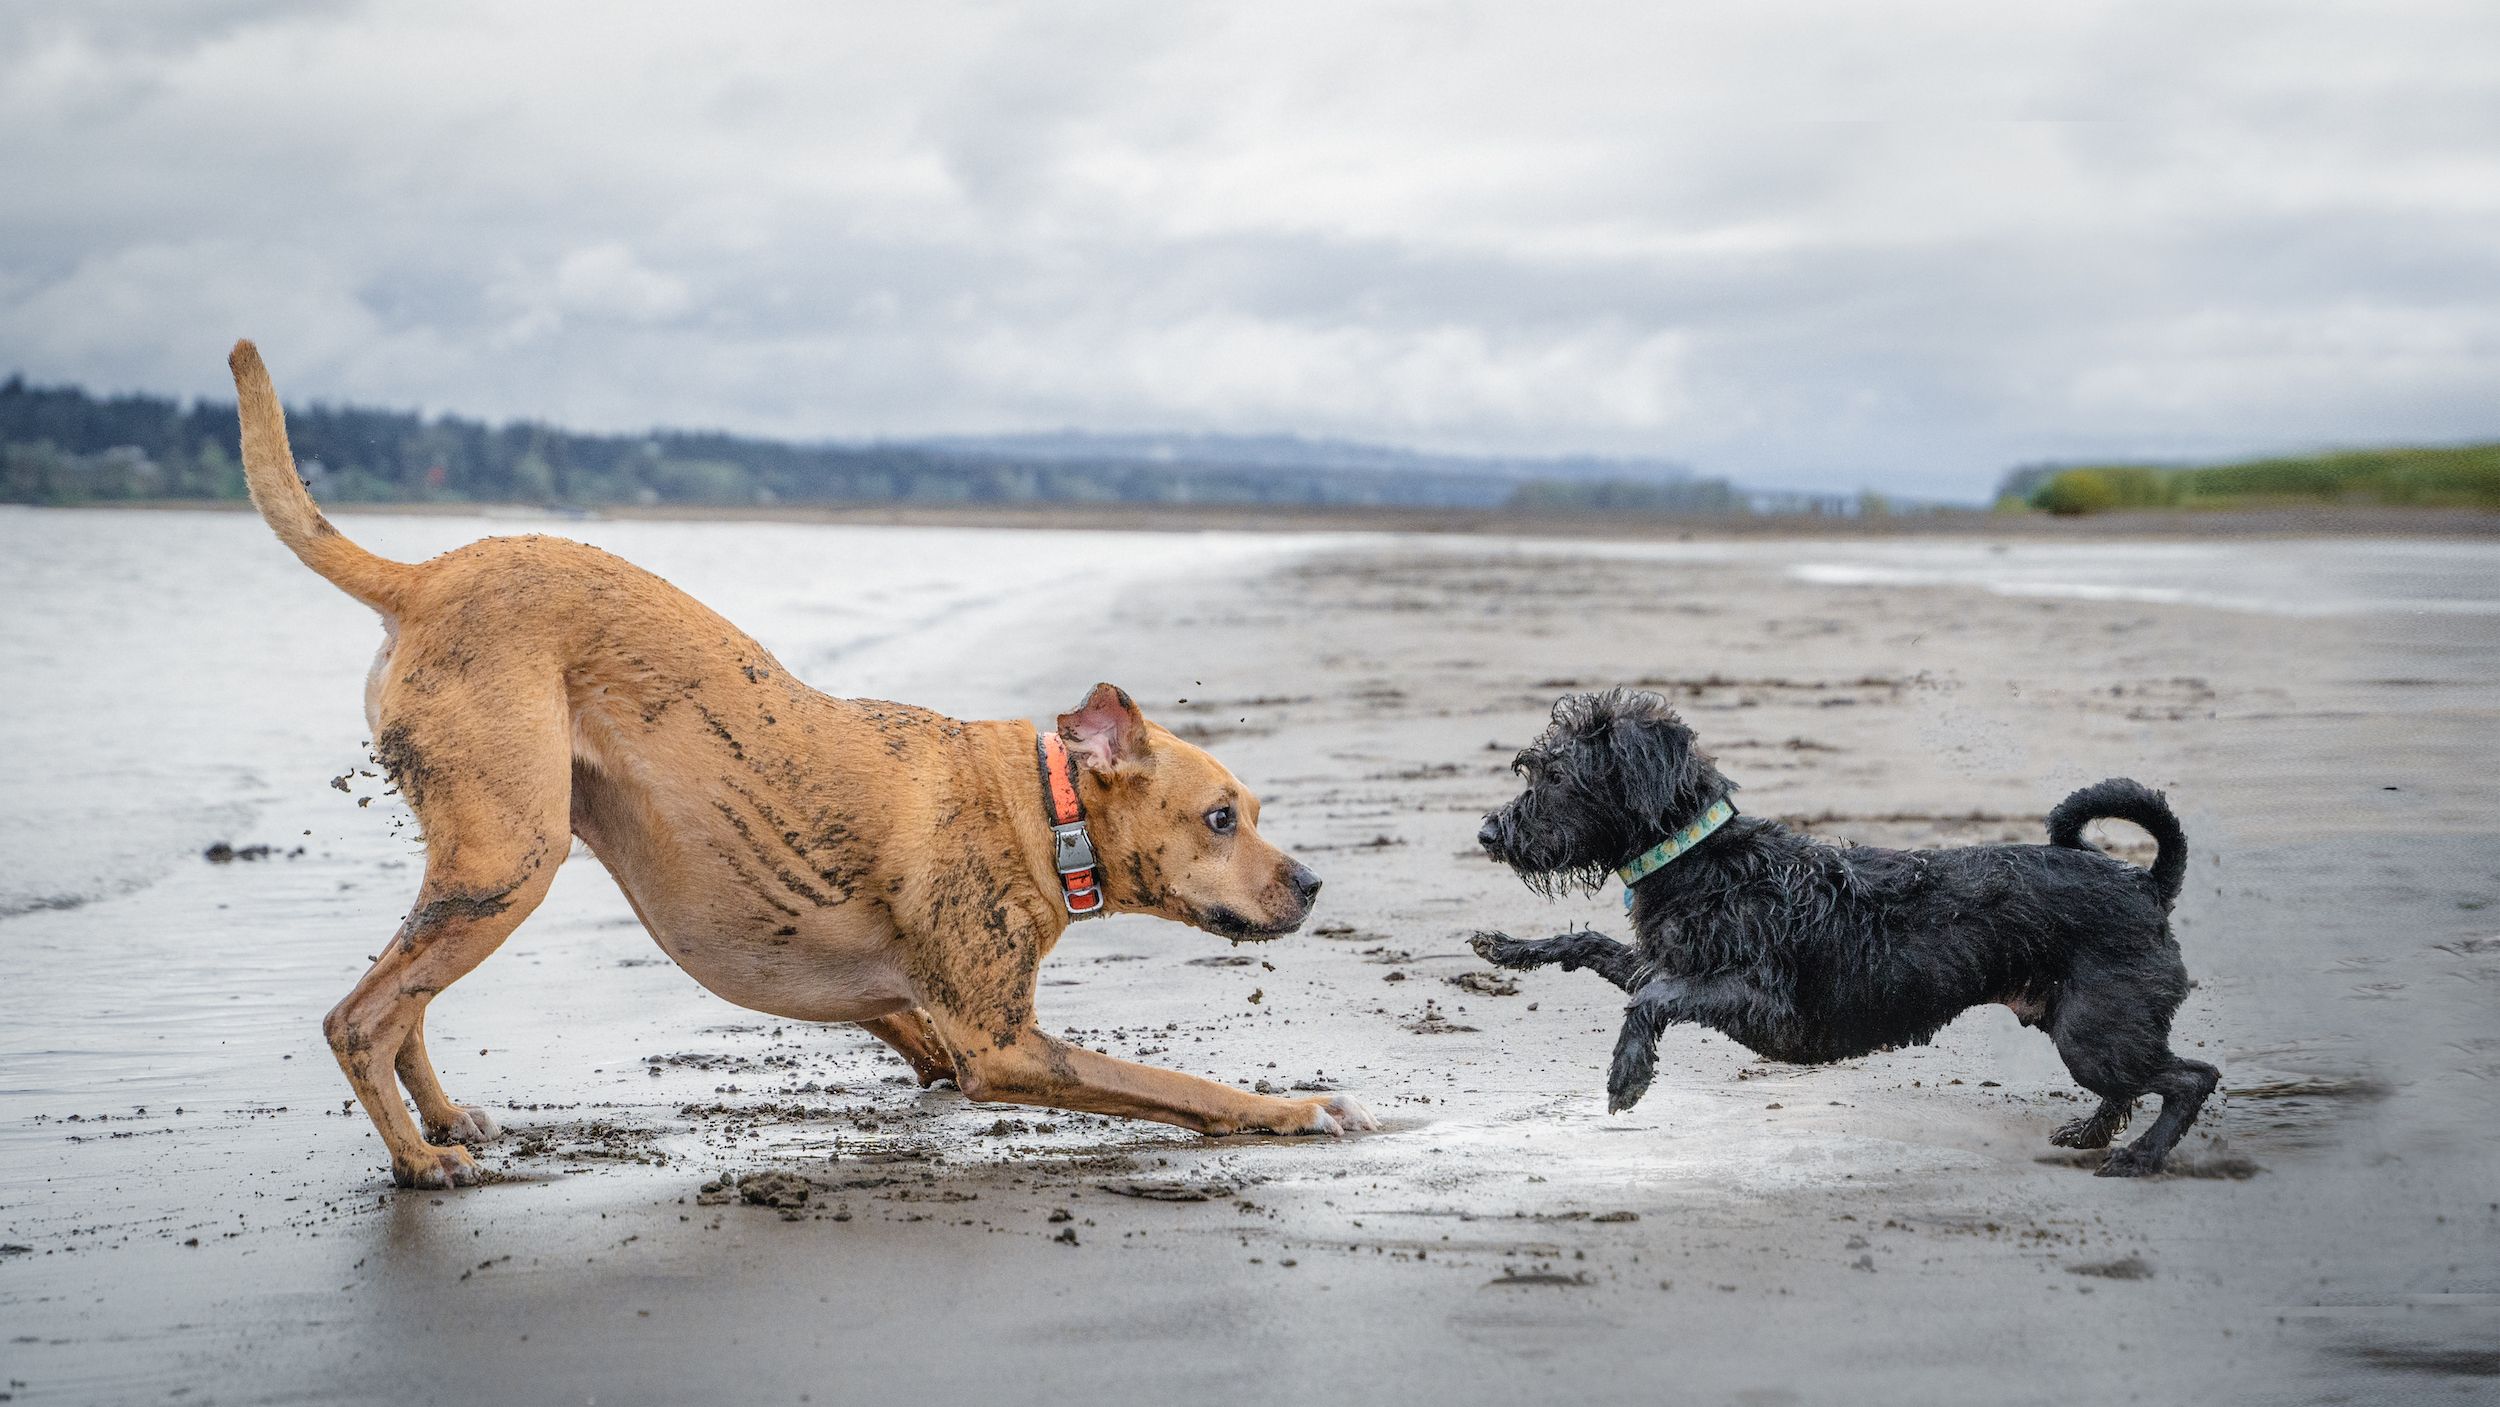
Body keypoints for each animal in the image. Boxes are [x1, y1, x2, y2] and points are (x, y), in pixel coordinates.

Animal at [225, 344, 1380, 1189]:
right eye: (1222, 818)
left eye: (1256, 809)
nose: (1316, 883)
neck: (1034, 807)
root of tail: (421, 575)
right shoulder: (1005, 1045)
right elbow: (1181, 1084)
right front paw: (1298, 1108)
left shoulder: (911, 1006)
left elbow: (909, 1027)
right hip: (514, 858)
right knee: (361, 1016)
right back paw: (420, 1160)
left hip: (476, 861)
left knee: (404, 996)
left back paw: (445, 1119)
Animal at [1470, 689, 2220, 1179]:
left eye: (1558, 776)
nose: (1486, 834)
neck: (1702, 858)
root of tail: (2147, 883)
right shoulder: (1664, 963)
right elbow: (1591, 947)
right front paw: (1507, 947)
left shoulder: (1757, 997)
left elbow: (1647, 1001)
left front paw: (1627, 1074)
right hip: (2079, 1024)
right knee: (2139, 1083)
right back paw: (2091, 1131)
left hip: (2094, 1032)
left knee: (2192, 1077)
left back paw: (2140, 1156)